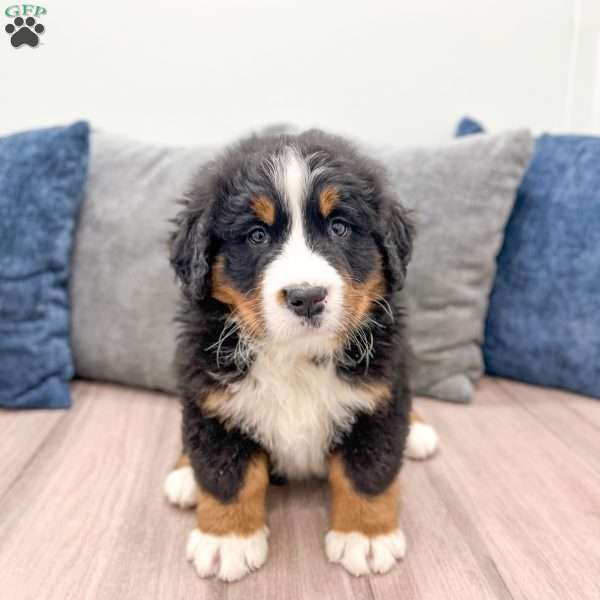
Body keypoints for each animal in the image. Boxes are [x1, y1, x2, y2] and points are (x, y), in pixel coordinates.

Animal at [162, 127, 438, 580]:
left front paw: (365, 536)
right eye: (257, 235)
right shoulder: (211, 398)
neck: (296, 357)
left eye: (340, 227)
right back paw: (185, 474)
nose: (306, 297)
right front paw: (227, 539)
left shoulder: (380, 395)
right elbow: (226, 474)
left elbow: (367, 471)